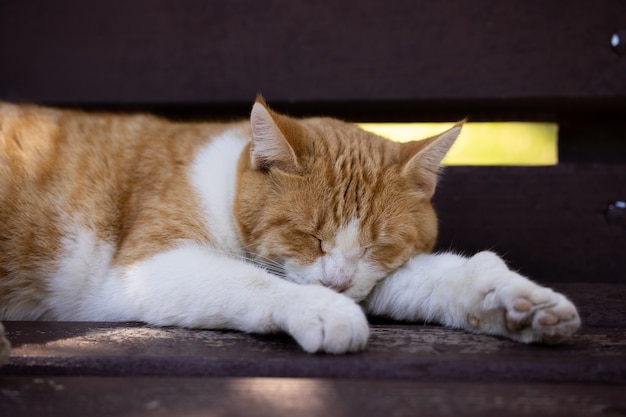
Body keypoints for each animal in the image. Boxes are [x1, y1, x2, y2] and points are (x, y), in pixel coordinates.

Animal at [0, 95, 576, 360]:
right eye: (309, 235)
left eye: (378, 244)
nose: (338, 284)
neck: (223, 185)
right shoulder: (148, 263)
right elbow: (251, 280)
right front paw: (322, 309)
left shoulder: (379, 276)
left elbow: (445, 278)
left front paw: (516, 302)